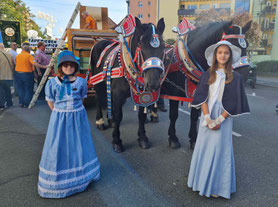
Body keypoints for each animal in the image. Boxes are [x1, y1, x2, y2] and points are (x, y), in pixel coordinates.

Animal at [90, 16, 165, 152]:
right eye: (142, 45)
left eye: (163, 46)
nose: (153, 83)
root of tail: (98, 42)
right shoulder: (118, 94)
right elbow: (119, 115)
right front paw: (117, 141)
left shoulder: (141, 94)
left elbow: (141, 115)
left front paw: (142, 138)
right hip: (97, 80)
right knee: (98, 97)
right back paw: (100, 121)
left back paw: (110, 120)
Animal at [161, 19, 252, 149]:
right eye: (232, 45)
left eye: (247, 45)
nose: (245, 74)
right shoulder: (174, 93)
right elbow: (174, 115)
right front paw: (173, 138)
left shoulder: (198, 94)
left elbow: (194, 116)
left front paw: (193, 139)